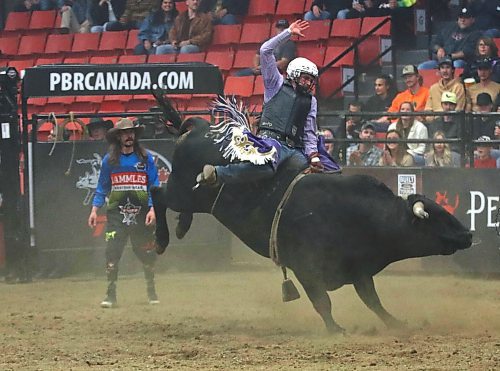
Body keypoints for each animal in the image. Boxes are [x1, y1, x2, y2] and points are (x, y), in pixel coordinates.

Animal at [152, 118, 472, 334]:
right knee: (158, 193)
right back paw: (162, 239)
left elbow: (372, 301)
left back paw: (182, 227)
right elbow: (323, 302)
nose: (468, 234)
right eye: (437, 218)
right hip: (182, 190)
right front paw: (336, 330)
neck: (359, 216)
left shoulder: (359, 270)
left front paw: (396, 323)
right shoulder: (306, 269)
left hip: (194, 199)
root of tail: (198, 126)